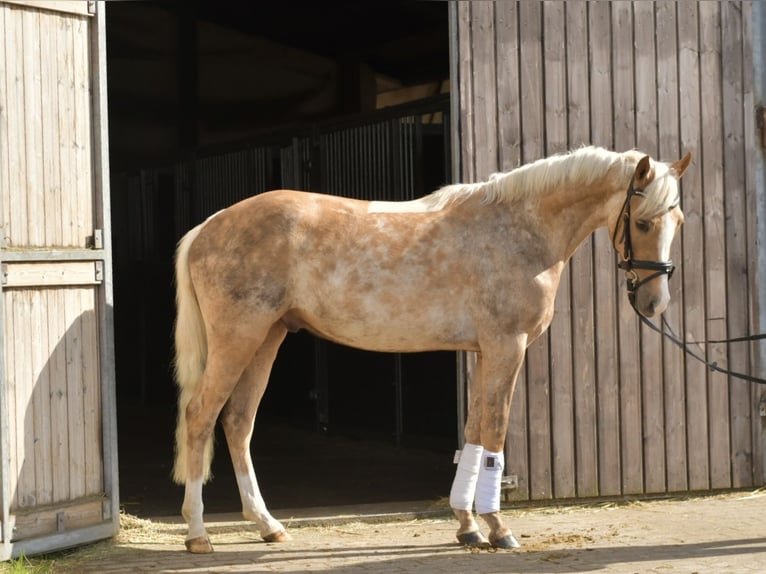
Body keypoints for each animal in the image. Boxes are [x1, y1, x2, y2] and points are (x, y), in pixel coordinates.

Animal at [172, 145, 691, 553]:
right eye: (643, 222)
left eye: (679, 220)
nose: (655, 303)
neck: (519, 227)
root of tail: (207, 227)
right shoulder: (507, 346)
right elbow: (494, 435)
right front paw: (498, 529)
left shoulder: (484, 351)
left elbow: (474, 432)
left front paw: (467, 526)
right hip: (239, 338)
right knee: (200, 416)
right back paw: (198, 534)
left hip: (267, 338)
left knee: (238, 424)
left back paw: (268, 525)